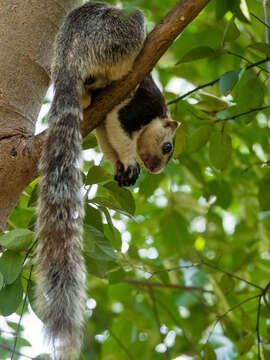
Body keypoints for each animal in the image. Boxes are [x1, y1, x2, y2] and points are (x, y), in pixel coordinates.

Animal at [35, 1, 179, 358]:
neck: (156, 118)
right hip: (118, 38)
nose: (156, 168)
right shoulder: (131, 110)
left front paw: (121, 169)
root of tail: (69, 58)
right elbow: (122, 134)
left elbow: (107, 140)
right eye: (168, 147)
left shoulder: (104, 123)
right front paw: (129, 162)